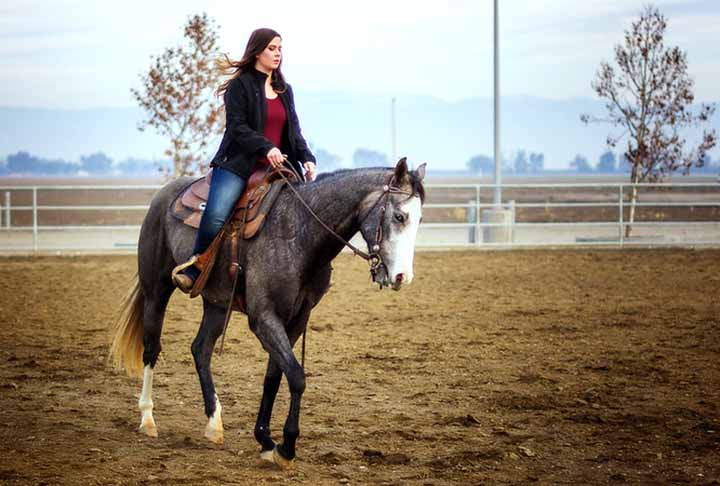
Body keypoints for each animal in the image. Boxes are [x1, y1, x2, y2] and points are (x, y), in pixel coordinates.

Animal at [109, 157, 424, 468]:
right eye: (399, 217)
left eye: (419, 219)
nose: (402, 277)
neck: (298, 234)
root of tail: (163, 196)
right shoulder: (263, 319)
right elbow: (296, 376)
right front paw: (286, 446)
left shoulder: (296, 320)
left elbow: (275, 375)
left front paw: (265, 439)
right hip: (156, 290)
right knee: (152, 348)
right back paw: (147, 419)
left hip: (217, 304)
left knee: (201, 349)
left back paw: (213, 423)